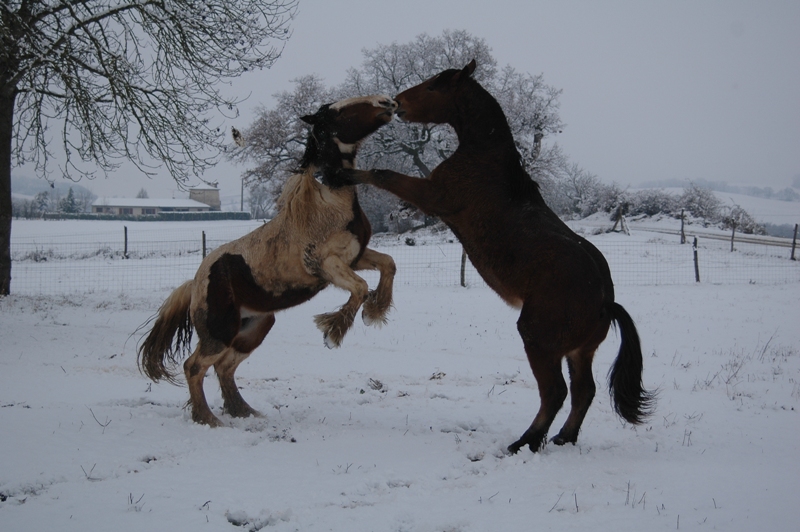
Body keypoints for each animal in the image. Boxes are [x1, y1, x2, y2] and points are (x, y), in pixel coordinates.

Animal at [141, 96, 400, 428]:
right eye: (338, 112)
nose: (387, 102)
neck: (329, 204)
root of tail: (196, 282)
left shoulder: (355, 257)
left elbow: (388, 265)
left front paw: (374, 312)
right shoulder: (326, 264)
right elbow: (360, 287)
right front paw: (333, 332)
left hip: (254, 329)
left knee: (224, 367)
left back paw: (243, 410)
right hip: (220, 331)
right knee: (194, 366)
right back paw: (208, 419)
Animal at [338, 61, 656, 454]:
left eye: (434, 86)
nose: (398, 103)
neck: (485, 159)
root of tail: (605, 300)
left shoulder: (432, 195)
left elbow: (383, 174)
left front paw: (343, 172)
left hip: (538, 340)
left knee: (555, 392)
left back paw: (524, 443)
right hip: (580, 352)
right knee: (584, 391)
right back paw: (563, 438)